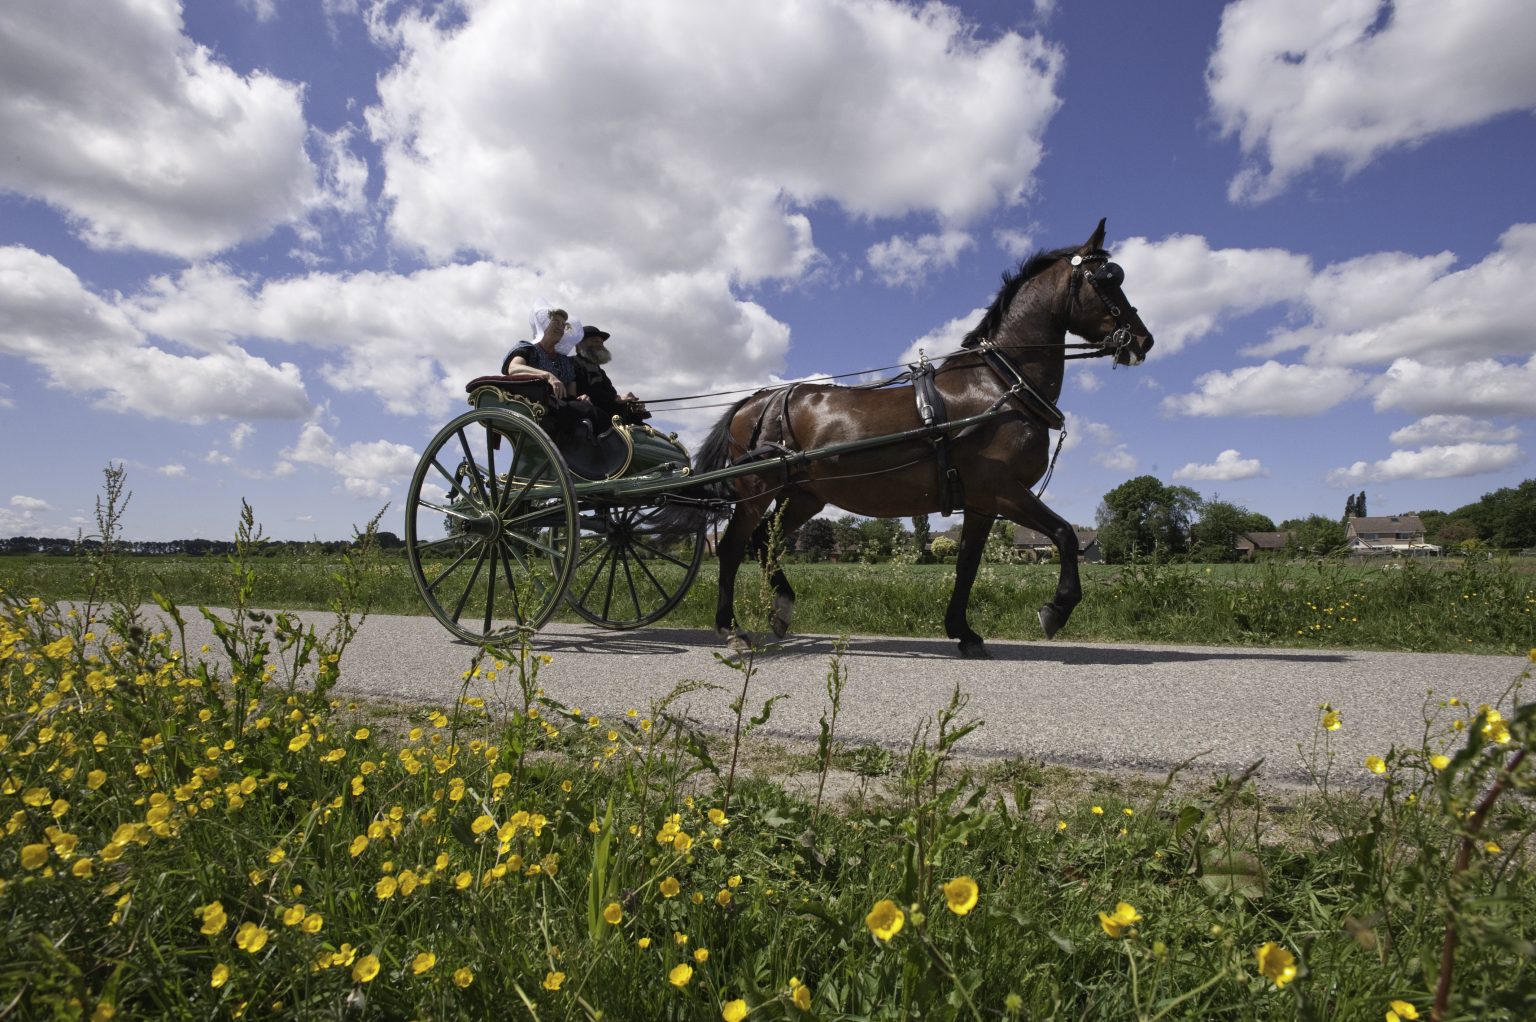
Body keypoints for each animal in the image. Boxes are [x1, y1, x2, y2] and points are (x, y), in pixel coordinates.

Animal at [672, 219, 1155, 657]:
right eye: (1108, 278)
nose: (1144, 340)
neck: (999, 388)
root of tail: (755, 400)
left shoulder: (982, 502)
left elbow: (967, 565)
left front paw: (963, 631)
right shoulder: (1003, 489)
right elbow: (1064, 534)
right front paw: (1056, 609)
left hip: (803, 496)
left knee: (763, 542)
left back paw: (782, 608)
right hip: (757, 490)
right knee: (732, 548)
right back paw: (731, 629)